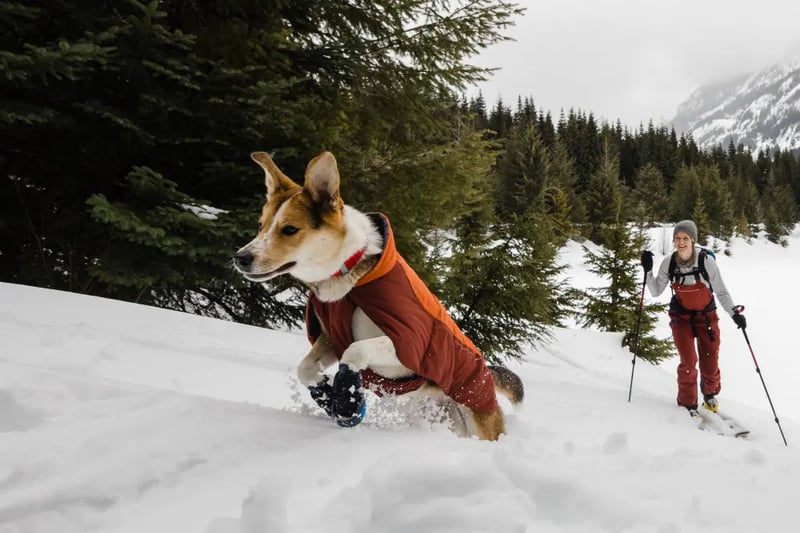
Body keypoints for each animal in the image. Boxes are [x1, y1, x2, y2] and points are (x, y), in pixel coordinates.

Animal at [233, 151, 524, 440]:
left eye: (290, 229)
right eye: (261, 226)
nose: (240, 258)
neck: (349, 276)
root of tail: (487, 374)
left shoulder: (409, 346)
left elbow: (356, 351)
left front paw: (347, 397)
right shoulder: (330, 338)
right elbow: (305, 369)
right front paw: (328, 395)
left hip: (477, 418)